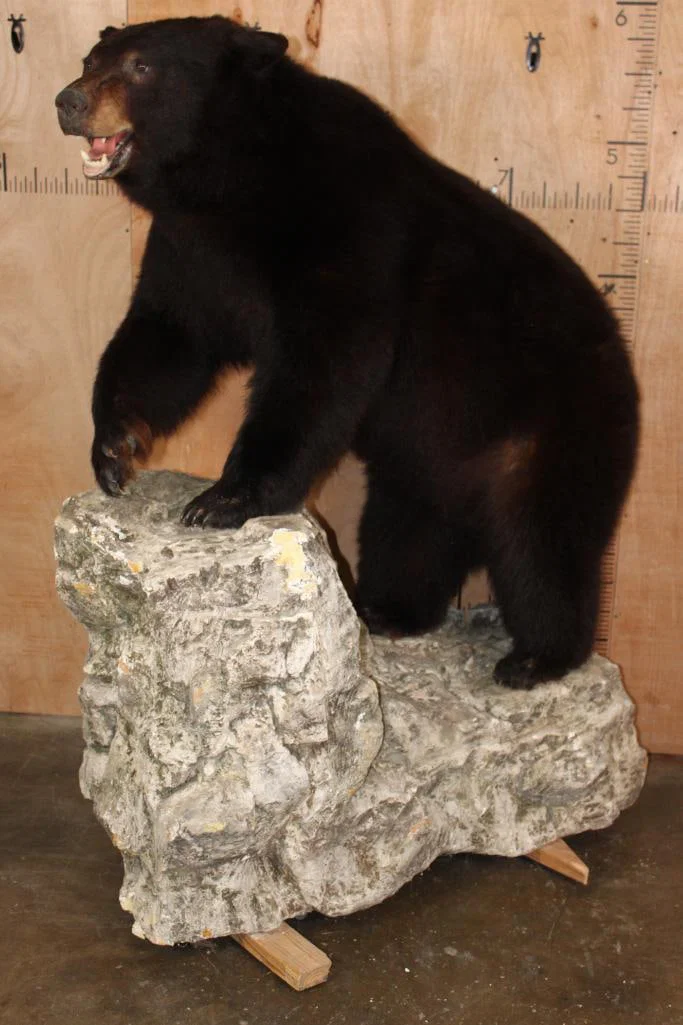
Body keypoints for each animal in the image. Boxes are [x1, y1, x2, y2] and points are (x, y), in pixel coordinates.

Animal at [56, 16, 639, 688]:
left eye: (142, 67)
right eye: (91, 58)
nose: (68, 101)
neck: (233, 180)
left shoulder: (348, 232)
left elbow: (324, 365)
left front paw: (224, 498)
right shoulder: (192, 248)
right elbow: (170, 337)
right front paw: (114, 448)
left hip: (552, 425)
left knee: (541, 541)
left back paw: (537, 656)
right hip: (427, 456)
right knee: (408, 528)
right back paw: (387, 609)